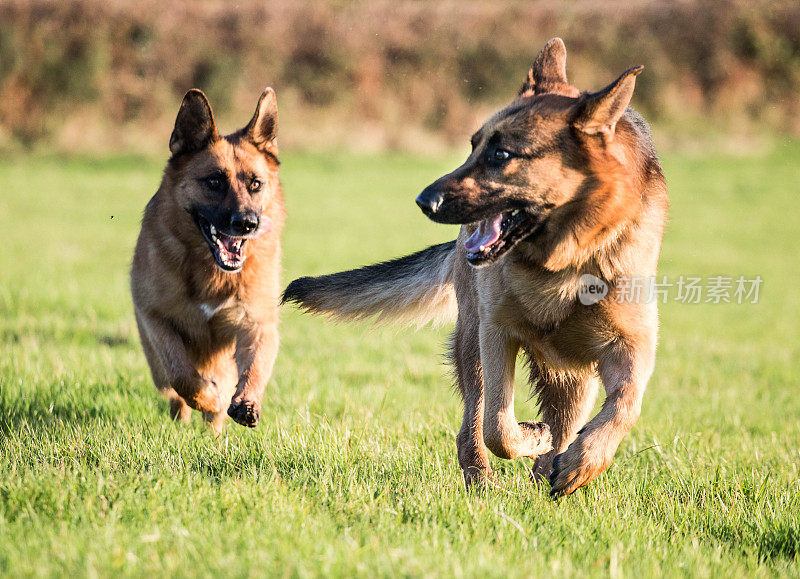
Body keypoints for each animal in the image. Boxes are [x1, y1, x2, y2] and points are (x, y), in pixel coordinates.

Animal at [134, 88, 288, 432]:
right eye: (215, 182)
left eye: (255, 184)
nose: (247, 223)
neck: (212, 272)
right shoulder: (156, 319)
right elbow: (181, 375)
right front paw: (208, 398)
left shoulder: (257, 323)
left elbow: (254, 368)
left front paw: (245, 403)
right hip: (155, 363)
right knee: (173, 388)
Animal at [282, 38, 668, 496]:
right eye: (473, 148)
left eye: (501, 155)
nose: (423, 201)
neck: (563, 263)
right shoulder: (496, 333)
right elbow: (497, 427)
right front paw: (532, 438)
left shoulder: (630, 346)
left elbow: (625, 405)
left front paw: (582, 463)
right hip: (473, 342)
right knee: (475, 425)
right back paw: (487, 479)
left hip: (571, 374)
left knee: (564, 418)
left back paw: (550, 469)